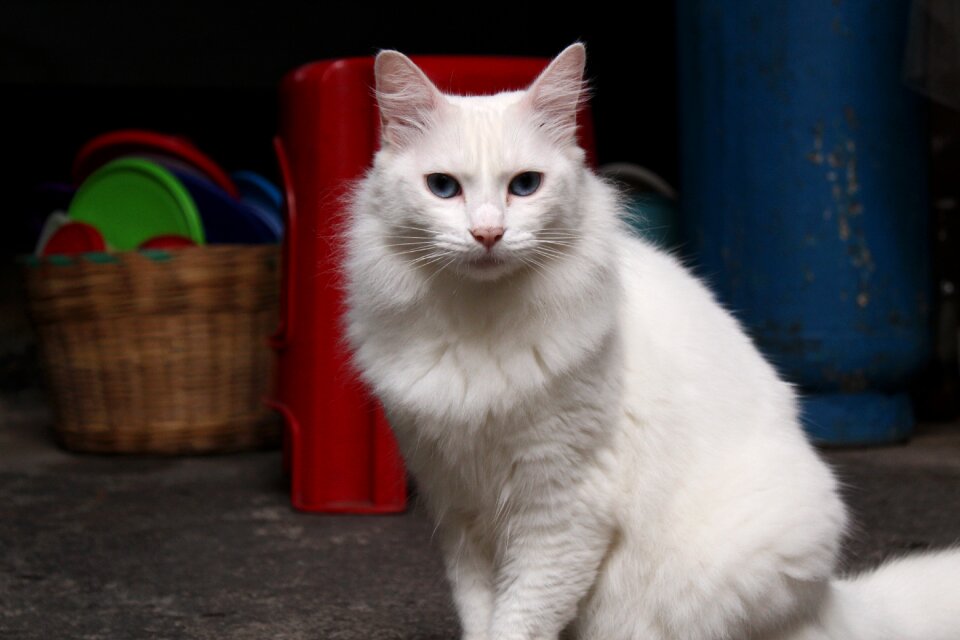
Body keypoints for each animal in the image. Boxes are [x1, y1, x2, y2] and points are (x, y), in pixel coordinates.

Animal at [342, 43, 956, 640]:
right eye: (443, 188)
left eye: (525, 186)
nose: (488, 234)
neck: (478, 324)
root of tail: (832, 599)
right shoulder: (459, 510)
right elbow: (480, 615)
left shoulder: (562, 512)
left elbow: (519, 619)